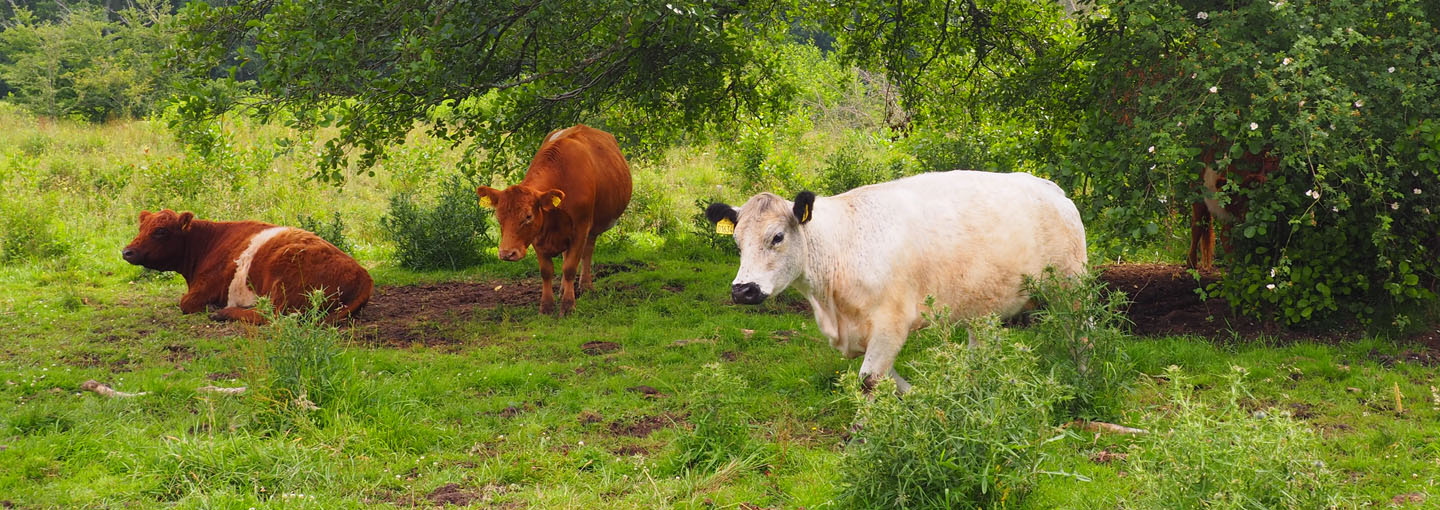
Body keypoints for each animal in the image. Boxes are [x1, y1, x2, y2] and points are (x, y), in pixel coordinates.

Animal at [121, 208, 371, 324]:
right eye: (141, 228)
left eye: (160, 231)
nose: (127, 251)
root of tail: (363, 274)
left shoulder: (205, 286)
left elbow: (186, 303)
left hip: (283, 283)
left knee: (271, 315)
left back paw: (223, 312)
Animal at [478, 123, 630, 314]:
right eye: (499, 218)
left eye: (528, 216)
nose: (506, 253)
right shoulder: (538, 235)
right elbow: (546, 271)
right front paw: (547, 306)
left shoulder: (581, 228)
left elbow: (570, 267)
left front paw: (568, 306)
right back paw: (564, 289)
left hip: (592, 226)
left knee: (587, 252)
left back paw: (586, 286)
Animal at [702, 172, 1082, 394]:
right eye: (736, 241)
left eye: (777, 237)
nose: (743, 290)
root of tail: (1054, 190)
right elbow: (883, 377)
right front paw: (918, 397)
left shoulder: (891, 321)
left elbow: (869, 381)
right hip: (984, 304)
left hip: (1070, 287)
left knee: (1081, 333)